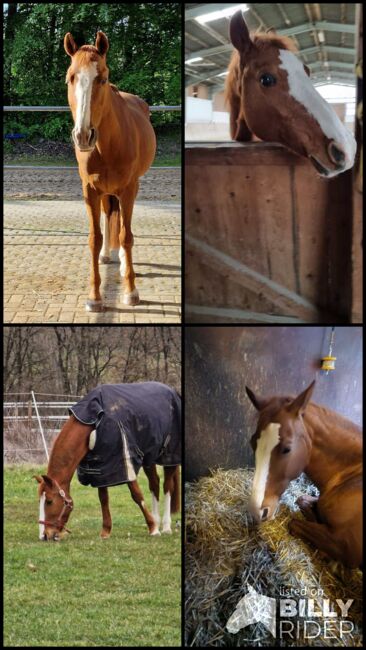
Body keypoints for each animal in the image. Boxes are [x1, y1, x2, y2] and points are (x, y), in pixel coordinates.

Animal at [34, 382, 180, 540]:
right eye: (39, 501)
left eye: (49, 501)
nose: (44, 536)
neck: (94, 424)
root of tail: (172, 391)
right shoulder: (102, 468)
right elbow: (103, 499)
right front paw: (105, 531)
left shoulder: (125, 462)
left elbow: (137, 495)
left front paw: (153, 529)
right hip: (149, 458)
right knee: (155, 484)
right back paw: (157, 520)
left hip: (169, 456)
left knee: (167, 486)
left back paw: (165, 526)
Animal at [64, 31, 156, 310]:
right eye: (71, 77)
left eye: (102, 78)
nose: (83, 136)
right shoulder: (90, 190)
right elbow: (95, 238)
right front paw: (94, 297)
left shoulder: (128, 189)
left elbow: (126, 236)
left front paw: (131, 292)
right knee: (108, 216)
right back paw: (107, 256)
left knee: (125, 228)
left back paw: (125, 264)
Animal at [246, 380, 364, 568]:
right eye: (252, 443)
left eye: (287, 449)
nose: (256, 511)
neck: (352, 474)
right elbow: (302, 500)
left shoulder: (348, 547)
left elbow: (295, 523)